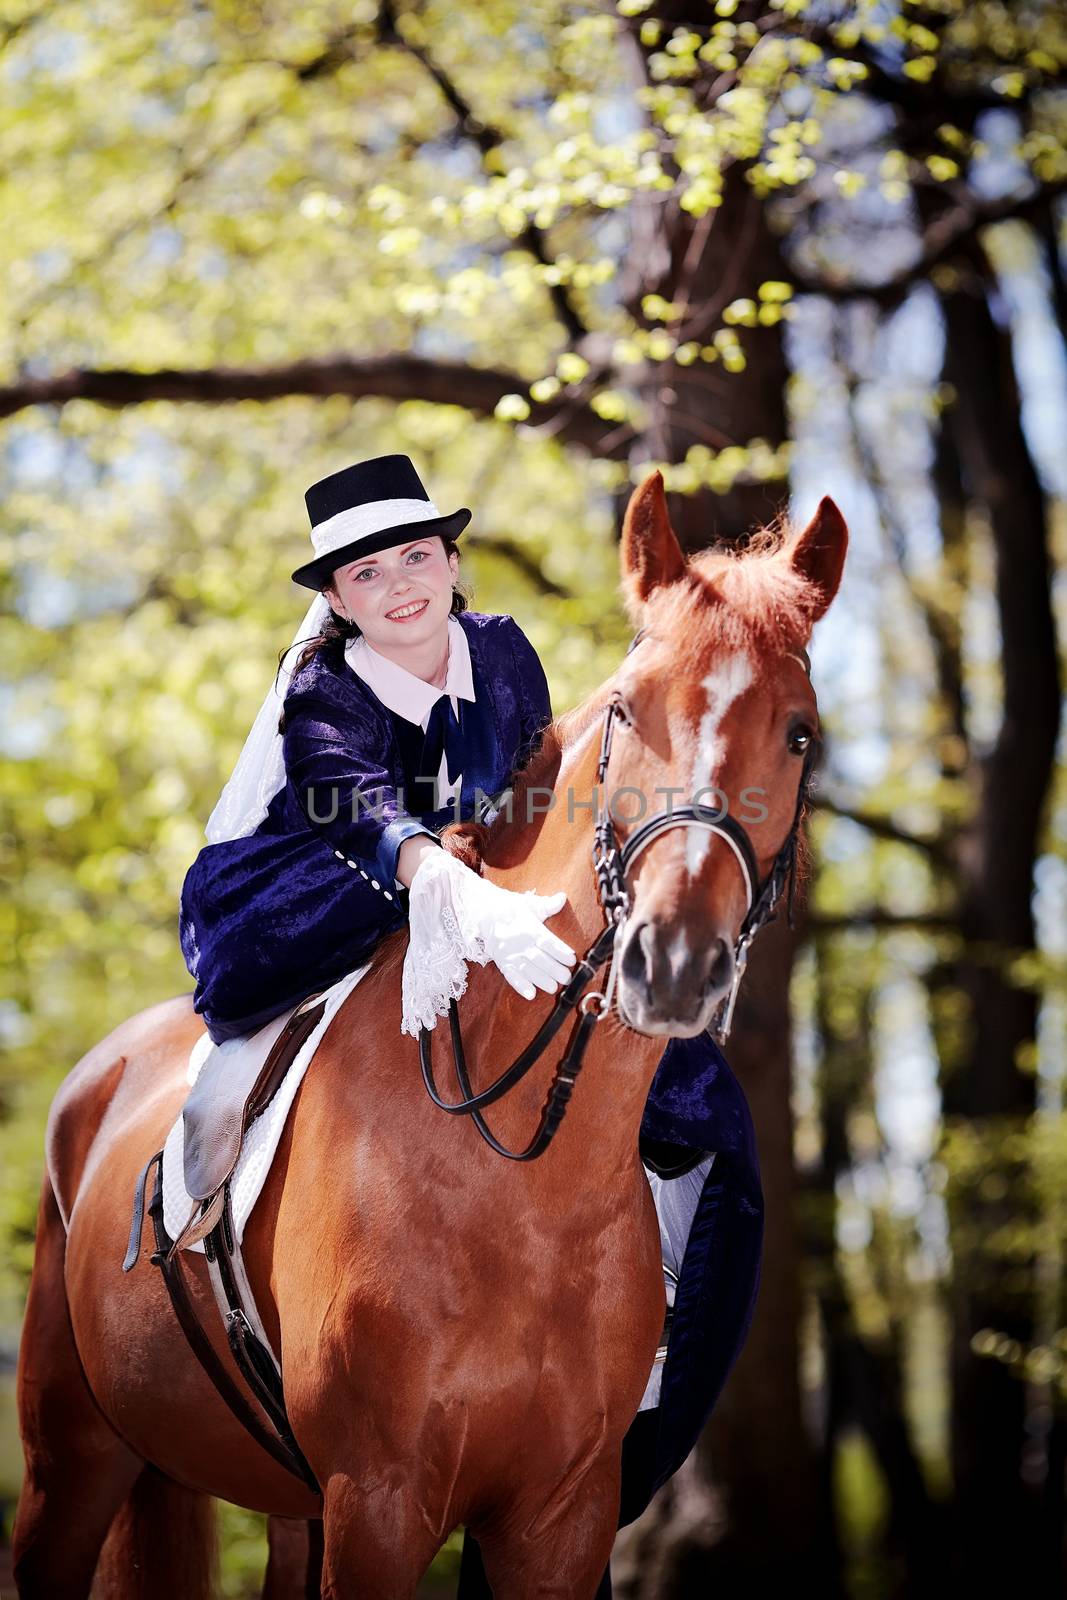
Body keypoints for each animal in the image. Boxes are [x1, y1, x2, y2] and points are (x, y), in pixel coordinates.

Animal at [12, 473, 844, 1600]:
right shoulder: (379, 1498)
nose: (670, 960)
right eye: (627, 708)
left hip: (280, 1504)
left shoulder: (561, 1515)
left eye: (799, 734)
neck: (521, 1184)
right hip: (75, 1459)